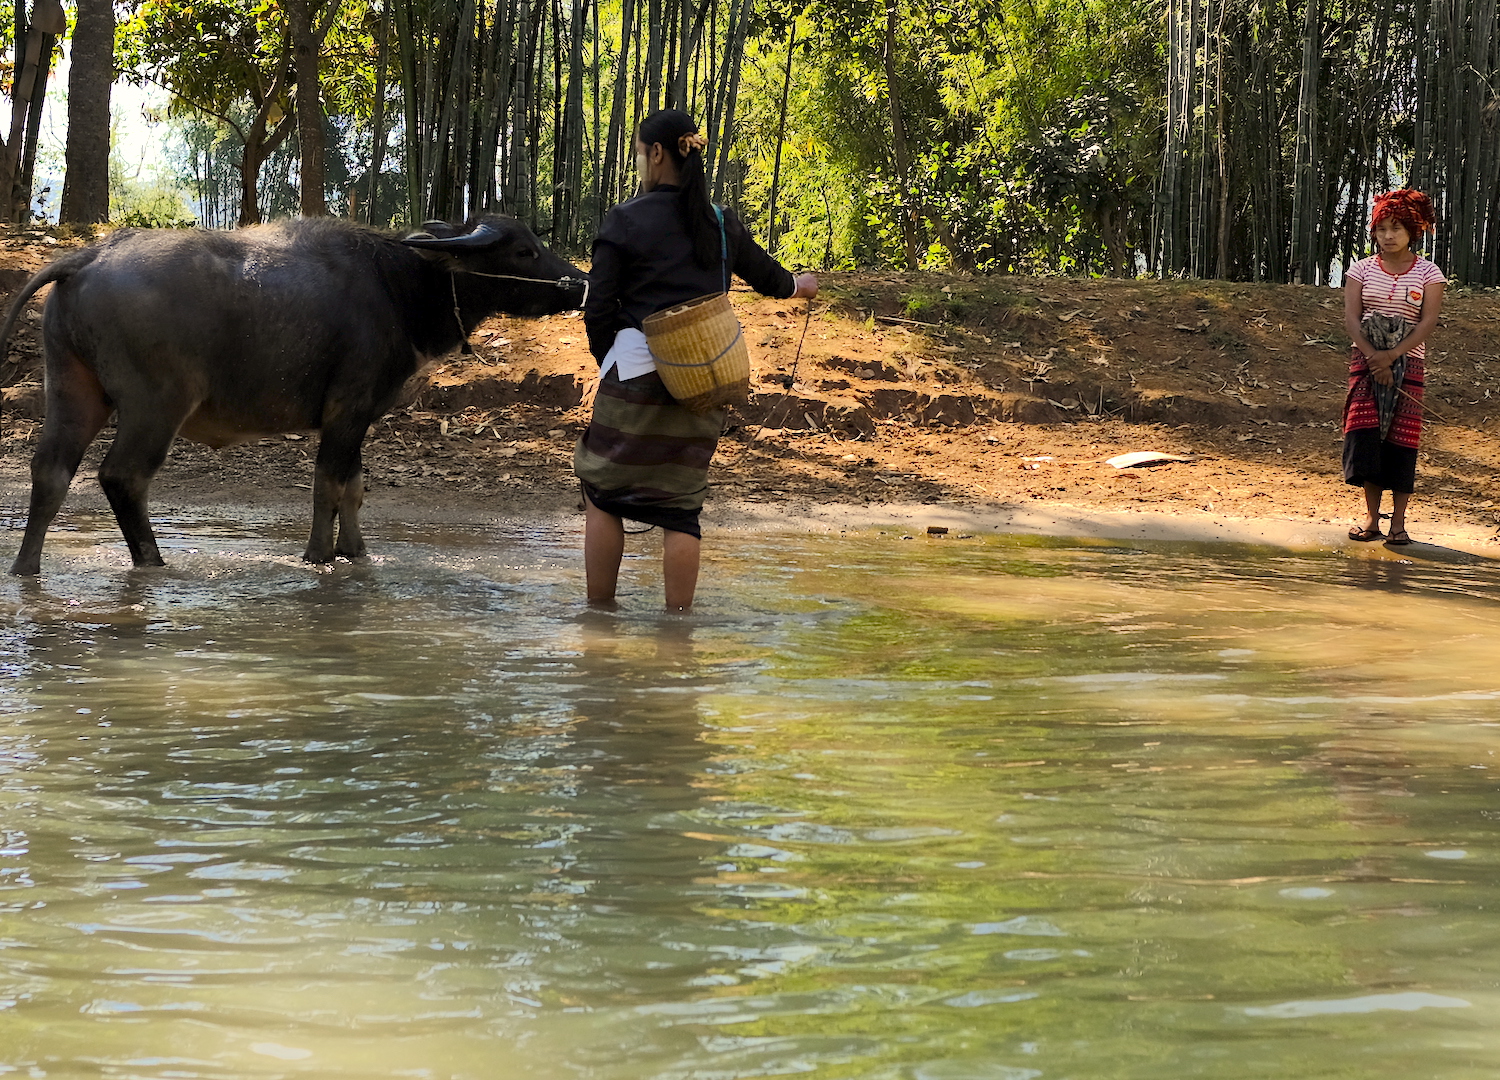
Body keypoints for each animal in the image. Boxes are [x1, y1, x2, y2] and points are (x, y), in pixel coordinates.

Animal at [0, 214, 585, 579]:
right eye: (525, 249)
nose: (577, 282)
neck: (397, 286)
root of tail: (91, 256)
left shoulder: (358, 418)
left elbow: (354, 489)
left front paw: (356, 554)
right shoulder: (349, 409)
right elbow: (328, 486)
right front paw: (318, 556)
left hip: (73, 389)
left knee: (50, 472)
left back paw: (26, 567)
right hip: (154, 406)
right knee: (122, 477)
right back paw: (153, 562)